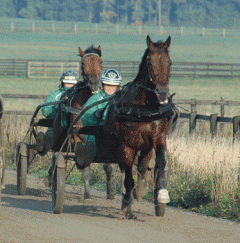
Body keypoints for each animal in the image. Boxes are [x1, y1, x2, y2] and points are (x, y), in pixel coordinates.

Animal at [103, 35, 174, 217]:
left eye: (169, 62)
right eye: (150, 63)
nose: (163, 93)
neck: (144, 109)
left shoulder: (158, 138)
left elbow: (161, 162)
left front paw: (161, 194)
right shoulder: (127, 144)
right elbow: (128, 174)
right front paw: (127, 201)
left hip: (146, 146)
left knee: (142, 167)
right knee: (125, 168)